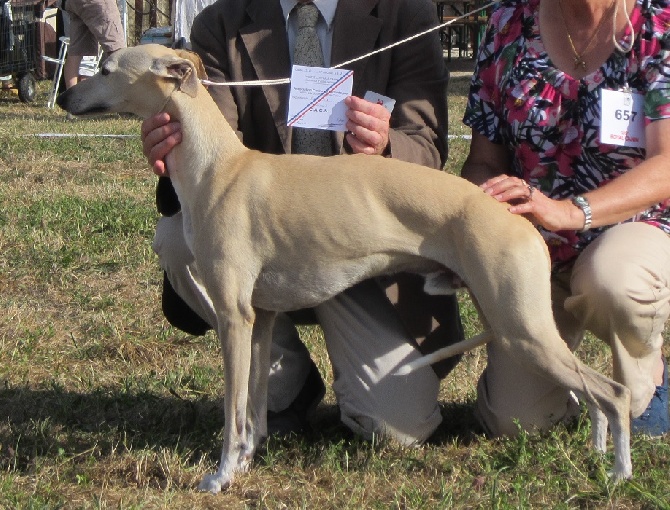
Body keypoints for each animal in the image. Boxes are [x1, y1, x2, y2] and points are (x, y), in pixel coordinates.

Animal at [57, 45, 636, 492]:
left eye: (106, 68)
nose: (64, 96)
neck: (219, 169)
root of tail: (519, 219)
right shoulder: (260, 318)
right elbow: (252, 407)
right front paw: (245, 462)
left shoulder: (233, 317)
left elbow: (231, 410)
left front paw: (219, 476)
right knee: (595, 396)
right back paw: (596, 455)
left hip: (523, 327)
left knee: (614, 391)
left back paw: (618, 474)